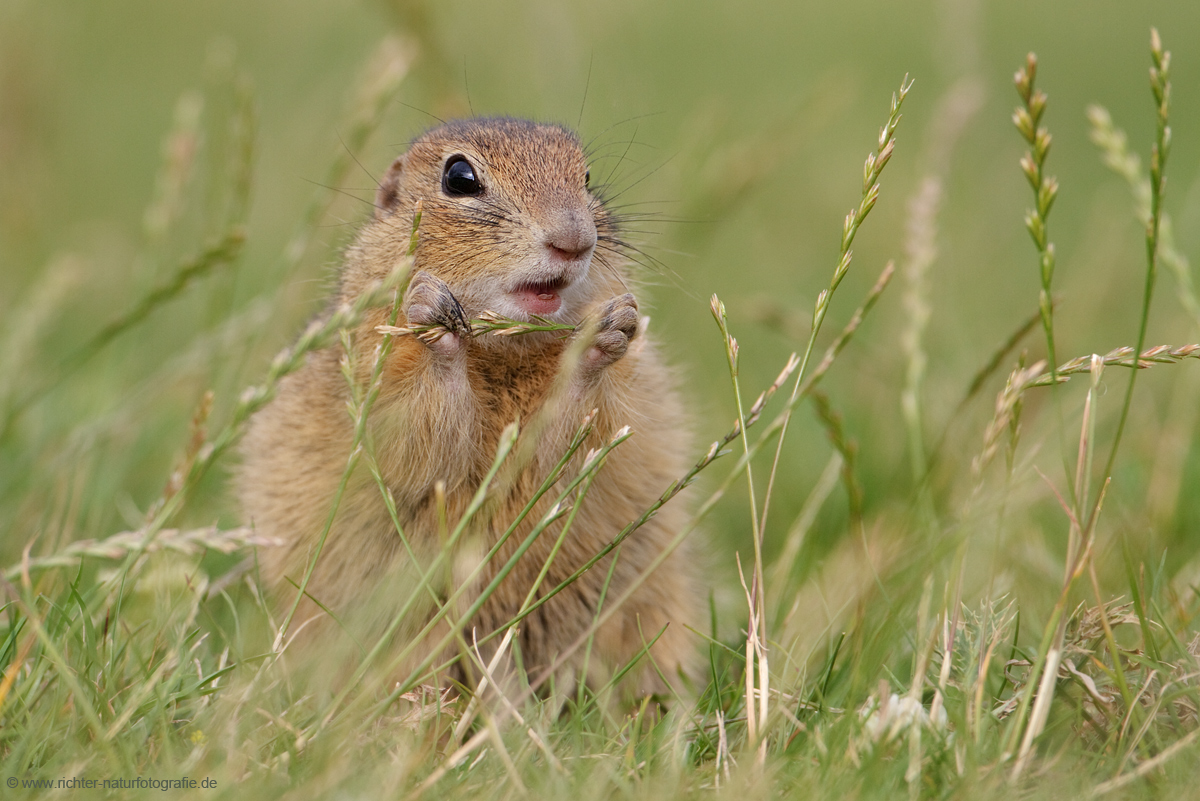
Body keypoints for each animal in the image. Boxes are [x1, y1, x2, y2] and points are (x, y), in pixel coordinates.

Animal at [238, 115, 700, 695]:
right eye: (459, 177)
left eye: (587, 177)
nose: (574, 241)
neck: (504, 347)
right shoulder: (373, 378)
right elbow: (421, 437)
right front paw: (434, 314)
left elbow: (567, 447)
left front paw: (607, 330)